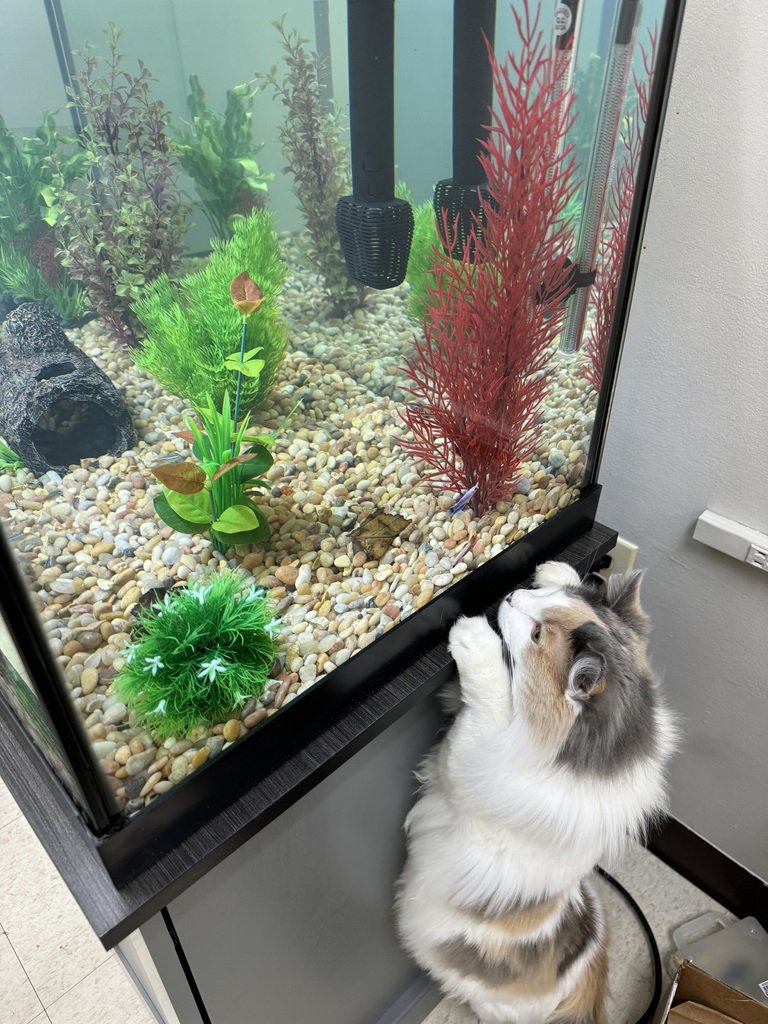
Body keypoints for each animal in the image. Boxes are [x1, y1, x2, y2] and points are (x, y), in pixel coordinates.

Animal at [397, 561, 679, 1024]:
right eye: (551, 599)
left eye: (536, 635)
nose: (512, 595)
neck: (596, 759)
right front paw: (555, 570)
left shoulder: (470, 752)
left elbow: (492, 689)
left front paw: (473, 635)